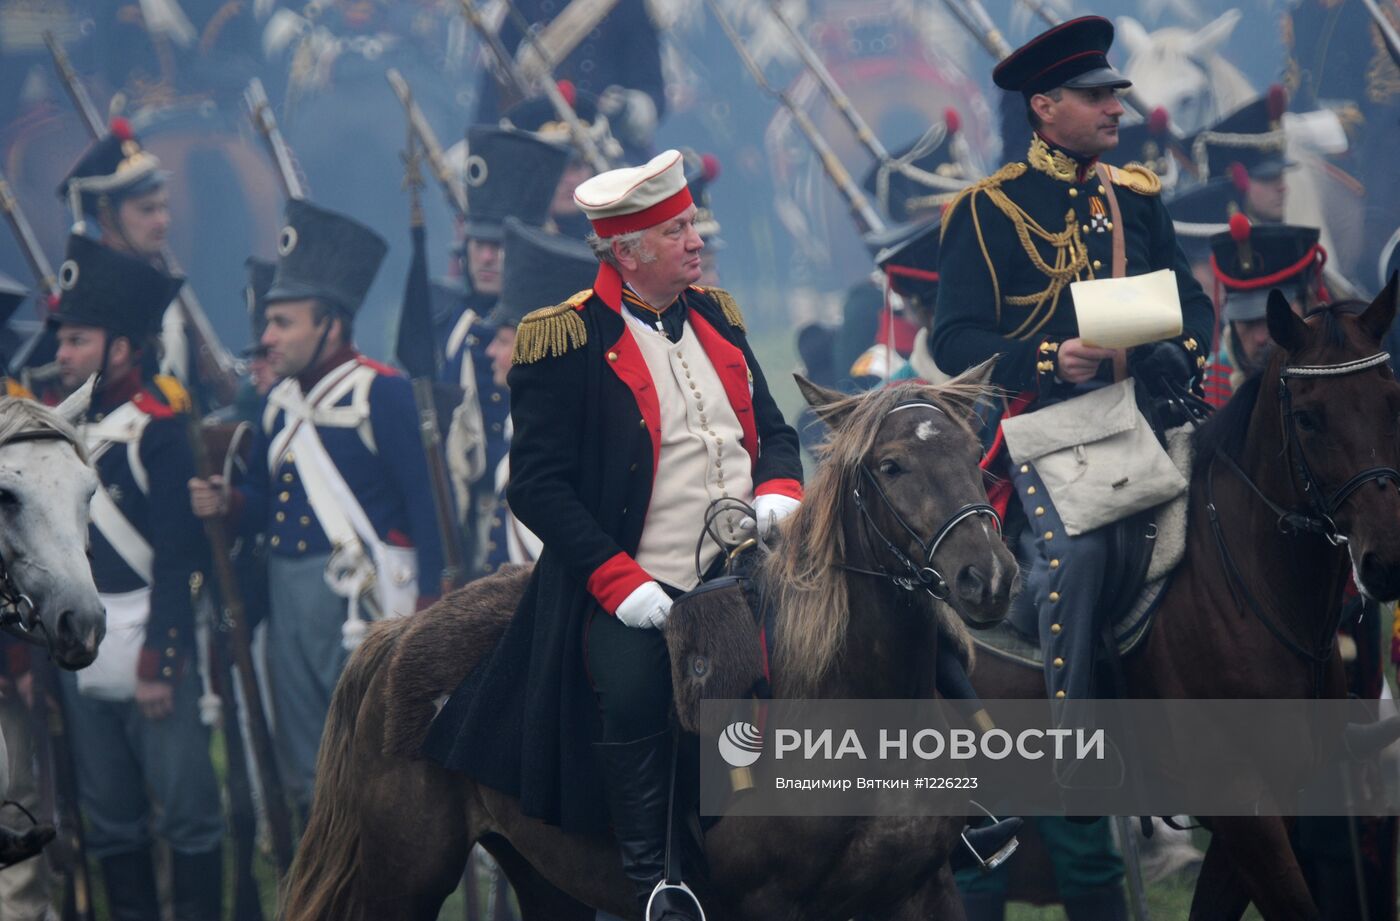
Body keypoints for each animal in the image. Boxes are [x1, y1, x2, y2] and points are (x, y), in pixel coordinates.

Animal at [281, 369, 1019, 918]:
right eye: (891, 465)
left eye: (970, 451)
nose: (987, 577)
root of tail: (400, 633)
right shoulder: (770, 903)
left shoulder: (924, 889)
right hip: (404, 877)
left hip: (544, 874)